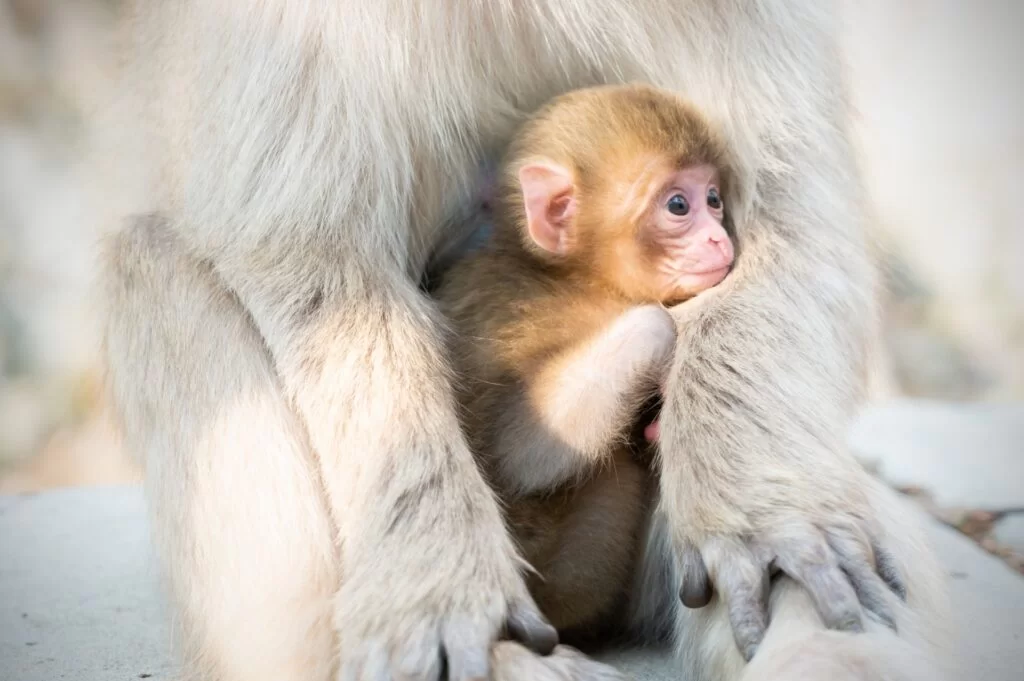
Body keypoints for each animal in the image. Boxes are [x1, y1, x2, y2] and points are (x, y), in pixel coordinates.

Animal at [100, 2, 955, 681]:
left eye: (712, 200)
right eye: (678, 206)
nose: (713, 236)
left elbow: (795, 215)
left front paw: (766, 518)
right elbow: (315, 261)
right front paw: (438, 590)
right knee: (153, 261)